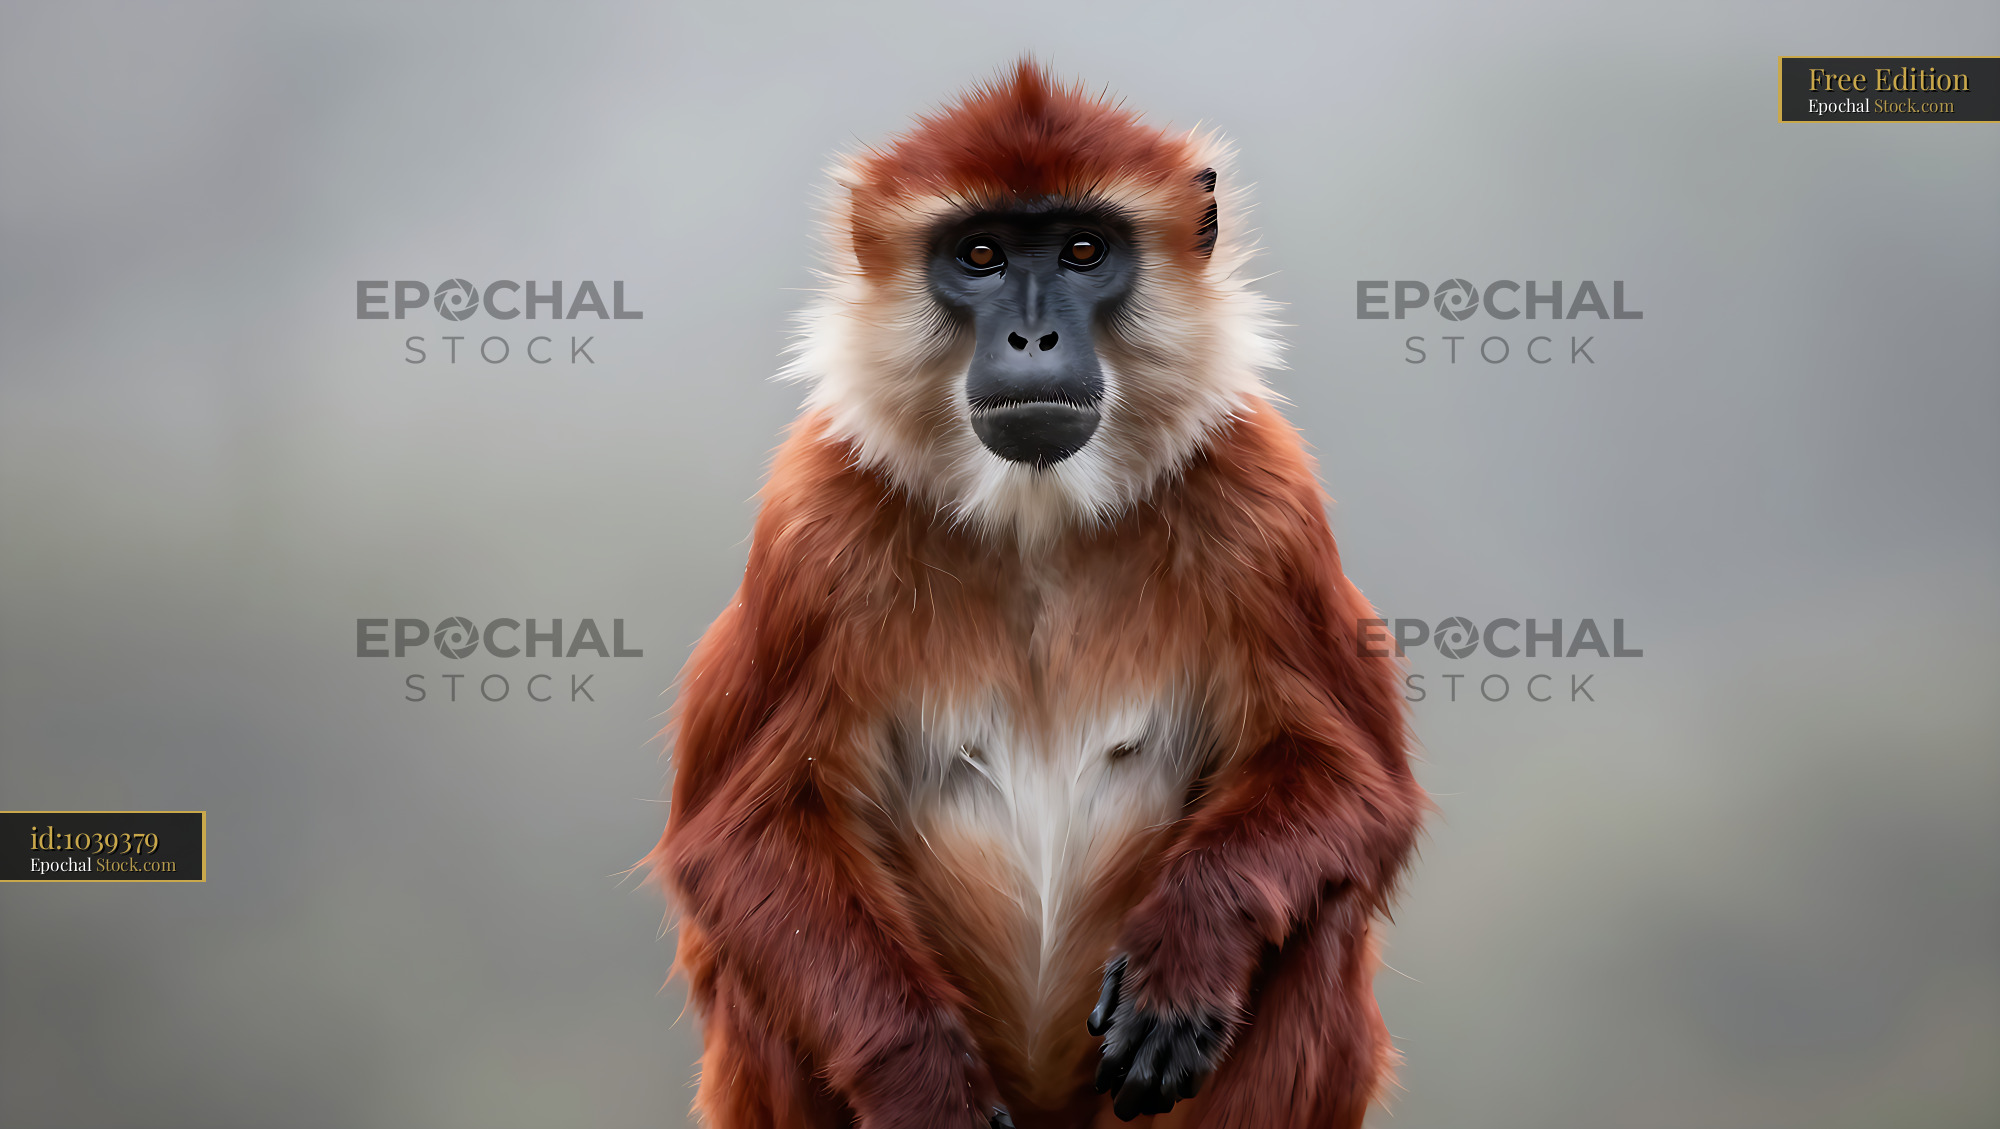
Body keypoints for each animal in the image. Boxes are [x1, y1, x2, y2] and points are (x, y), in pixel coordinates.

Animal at [647, 60, 1427, 1128]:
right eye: (980, 254)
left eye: (1083, 249)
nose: (1032, 333)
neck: (1038, 517)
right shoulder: (815, 526)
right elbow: (740, 839)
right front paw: (922, 1083)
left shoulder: (1261, 499)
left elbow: (1357, 787)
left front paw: (1187, 953)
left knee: (1323, 919)